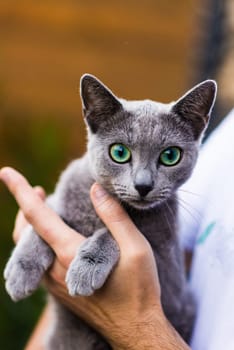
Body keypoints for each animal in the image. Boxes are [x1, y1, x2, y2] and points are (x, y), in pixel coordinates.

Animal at [3, 75, 217, 348]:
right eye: (119, 152)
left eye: (170, 156)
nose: (143, 185)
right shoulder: (59, 196)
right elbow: (45, 217)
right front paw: (20, 272)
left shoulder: (168, 272)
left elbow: (113, 233)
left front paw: (85, 270)